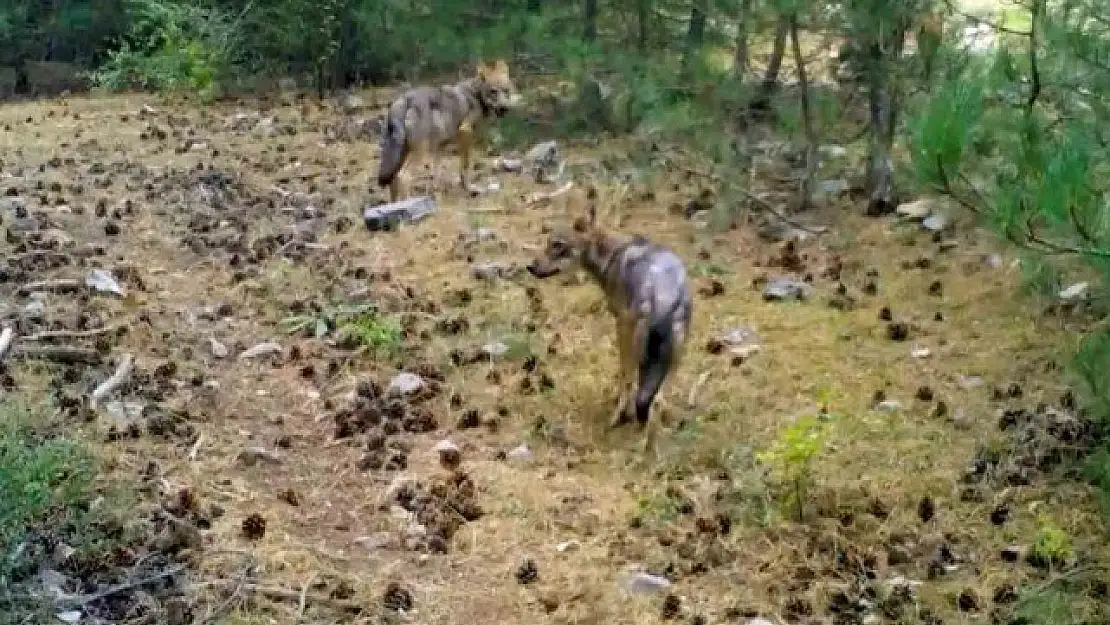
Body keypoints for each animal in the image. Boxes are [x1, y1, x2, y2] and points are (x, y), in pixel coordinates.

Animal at [375, 58, 521, 200]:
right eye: (493, 91)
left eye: (506, 90)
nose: (504, 108)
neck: (476, 96)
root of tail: (404, 99)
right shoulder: (465, 133)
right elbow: (465, 167)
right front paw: (469, 188)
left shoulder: (440, 147)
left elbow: (436, 173)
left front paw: (437, 193)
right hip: (420, 153)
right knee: (403, 176)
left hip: (404, 154)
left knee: (393, 180)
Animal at [523, 188, 688, 457]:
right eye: (548, 243)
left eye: (558, 246)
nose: (530, 266)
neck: (611, 255)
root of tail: (666, 295)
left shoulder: (621, 324)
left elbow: (624, 378)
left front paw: (621, 414)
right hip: (673, 360)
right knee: (658, 401)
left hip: (637, 344)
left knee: (638, 388)